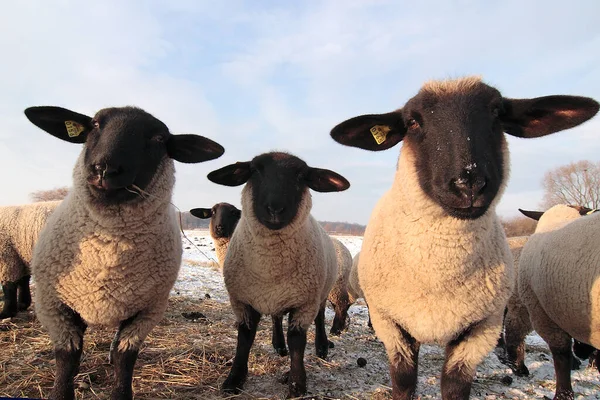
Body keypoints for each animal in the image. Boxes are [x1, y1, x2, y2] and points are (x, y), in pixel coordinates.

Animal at [22, 105, 225, 400]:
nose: (105, 168)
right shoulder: (54, 305)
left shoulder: (147, 310)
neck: (108, 254)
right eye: (95, 124)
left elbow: (124, 358)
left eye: (159, 138)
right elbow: (67, 357)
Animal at [206, 152, 350, 398]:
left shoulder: (304, 303)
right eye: (254, 170)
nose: (275, 208)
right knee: (276, 317)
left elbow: (297, 343)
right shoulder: (242, 299)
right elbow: (245, 338)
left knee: (320, 316)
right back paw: (278, 345)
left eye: (301, 176)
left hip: (321, 291)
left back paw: (321, 346)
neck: (269, 268)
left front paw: (297, 385)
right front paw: (234, 380)